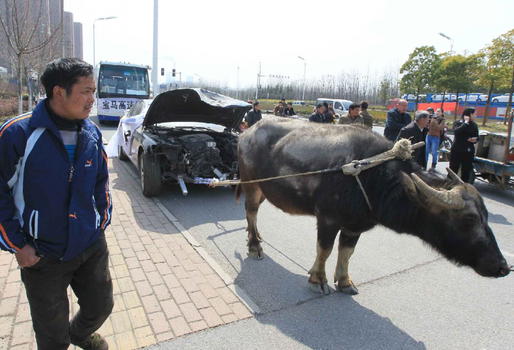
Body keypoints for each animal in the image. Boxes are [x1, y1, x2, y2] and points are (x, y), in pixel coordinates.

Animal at [236, 118, 508, 296]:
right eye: (468, 219)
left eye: (485, 216)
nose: (503, 267)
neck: (374, 177)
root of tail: (247, 133)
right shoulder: (327, 219)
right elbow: (324, 250)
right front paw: (318, 280)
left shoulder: (354, 226)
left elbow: (347, 252)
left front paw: (345, 282)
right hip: (251, 185)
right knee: (250, 212)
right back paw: (255, 246)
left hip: (264, 190)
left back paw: (256, 238)